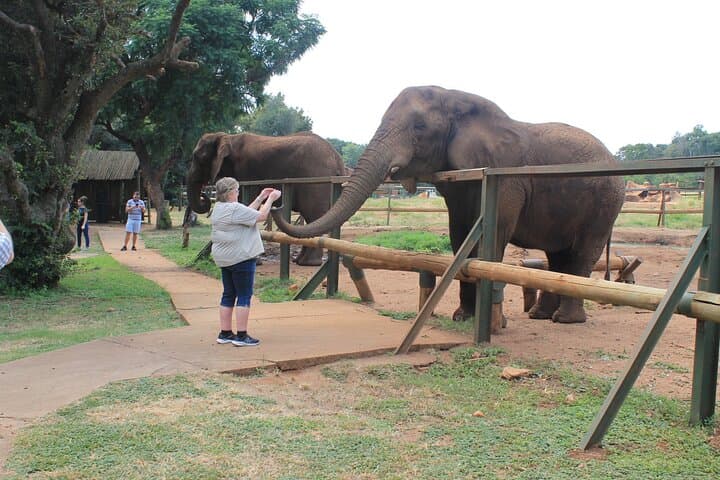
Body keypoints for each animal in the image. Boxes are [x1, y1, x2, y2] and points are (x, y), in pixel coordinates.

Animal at [187, 131, 347, 266]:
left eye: (198, 158)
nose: (204, 195)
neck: (228, 137)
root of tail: (338, 159)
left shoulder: (247, 172)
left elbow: (245, 205)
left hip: (315, 180)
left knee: (312, 215)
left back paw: (307, 263)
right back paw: (299, 261)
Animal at [271, 86, 625, 328]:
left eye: (419, 128)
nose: (274, 202)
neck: (457, 98)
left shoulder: (506, 178)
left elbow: (493, 237)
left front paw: (490, 323)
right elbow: (460, 235)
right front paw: (462, 318)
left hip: (605, 203)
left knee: (580, 254)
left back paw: (565, 320)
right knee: (558, 256)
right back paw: (542, 316)